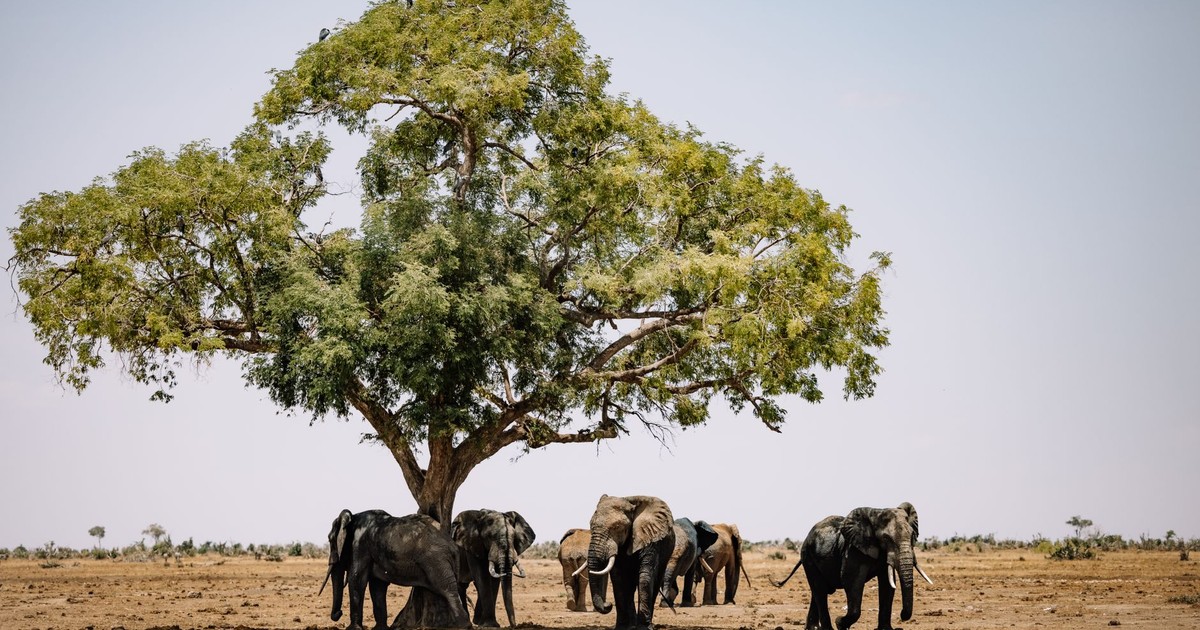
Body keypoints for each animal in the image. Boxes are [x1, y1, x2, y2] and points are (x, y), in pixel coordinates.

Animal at [322, 509, 469, 630]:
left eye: (330, 540)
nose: (339, 613)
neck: (352, 517)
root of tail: (452, 544)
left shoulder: (360, 544)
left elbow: (357, 579)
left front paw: (353, 629)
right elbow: (377, 586)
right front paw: (380, 629)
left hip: (436, 559)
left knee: (447, 589)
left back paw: (462, 625)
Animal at [586, 494, 676, 630]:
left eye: (617, 527)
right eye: (591, 525)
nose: (608, 604)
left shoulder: (650, 537)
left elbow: (645, 576)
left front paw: (644, 627)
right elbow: (618, 580)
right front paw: (621, 627)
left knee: (655, 582)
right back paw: (631, 624)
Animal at [773, 502, 934, 630]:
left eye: (912, 535)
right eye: (886, 538)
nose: (902, 615)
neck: (876, 514)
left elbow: (887, 585)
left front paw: (886, 629)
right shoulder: (853, 549)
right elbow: (852, 580)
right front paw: (840, 623)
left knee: (818, 590)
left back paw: (812, 628)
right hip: (808, 557)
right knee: (819, 590)